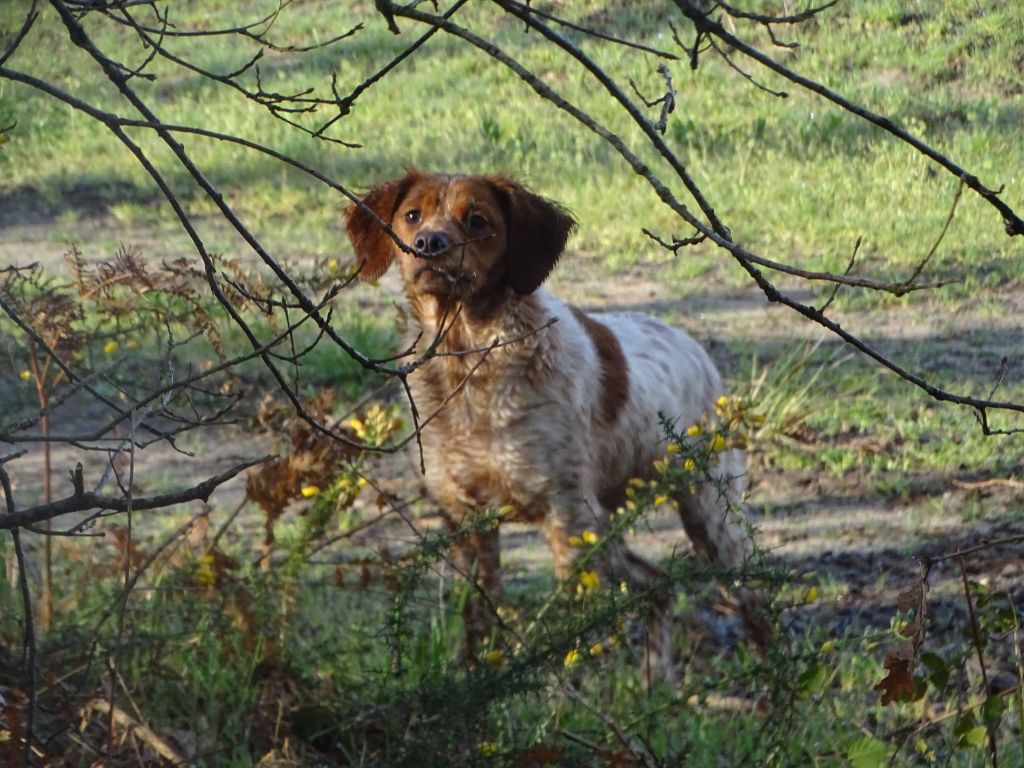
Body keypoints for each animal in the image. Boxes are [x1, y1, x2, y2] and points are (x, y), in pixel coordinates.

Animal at [348, 171, 765, 671]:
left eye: (477, 220)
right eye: (412, 215)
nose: (428, 244)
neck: (468, 363)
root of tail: (695, 348)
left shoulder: (566, 517)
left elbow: (570, 642)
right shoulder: (466, 521)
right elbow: (478, 624)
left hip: (709, 515)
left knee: (756, 603)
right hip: (609, 526)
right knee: (657, 591)